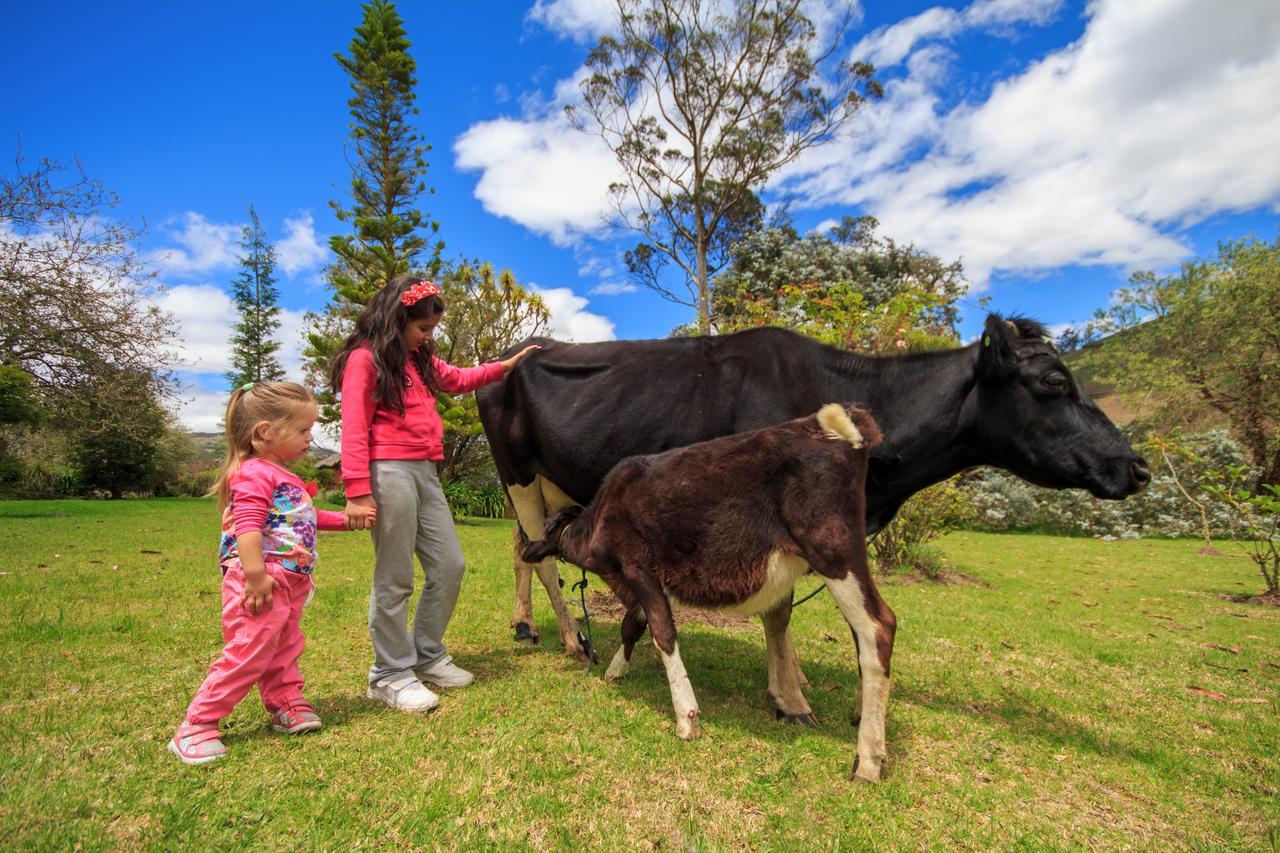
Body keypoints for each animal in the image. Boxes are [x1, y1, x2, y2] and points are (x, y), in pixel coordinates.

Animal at [524, 402, 896, 778]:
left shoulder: (638, 566)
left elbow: (661, 632)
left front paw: (686, 717)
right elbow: (634, 623)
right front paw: (616, 669)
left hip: (833, 551)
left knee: (878, 626)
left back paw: (867, 759)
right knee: (863, 634)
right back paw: (859, 715)